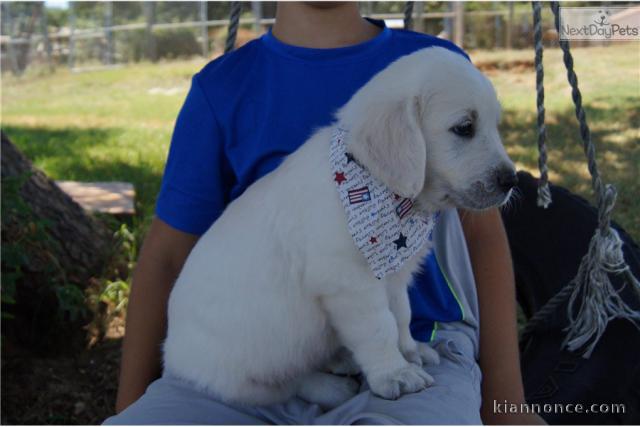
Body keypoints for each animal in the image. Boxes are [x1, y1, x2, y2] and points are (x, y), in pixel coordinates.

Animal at [162, 46, 516, 408]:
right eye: (464, 128)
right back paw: (332, 387)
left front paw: (410, 351)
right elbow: (380, 327)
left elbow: (401, 315)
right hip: (244, 373)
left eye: (494, 125)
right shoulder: (349, 283)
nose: (512, 180)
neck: (375, 183)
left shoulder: (392, 274)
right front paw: (395, 373)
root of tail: (172, 357)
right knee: (287, 384)